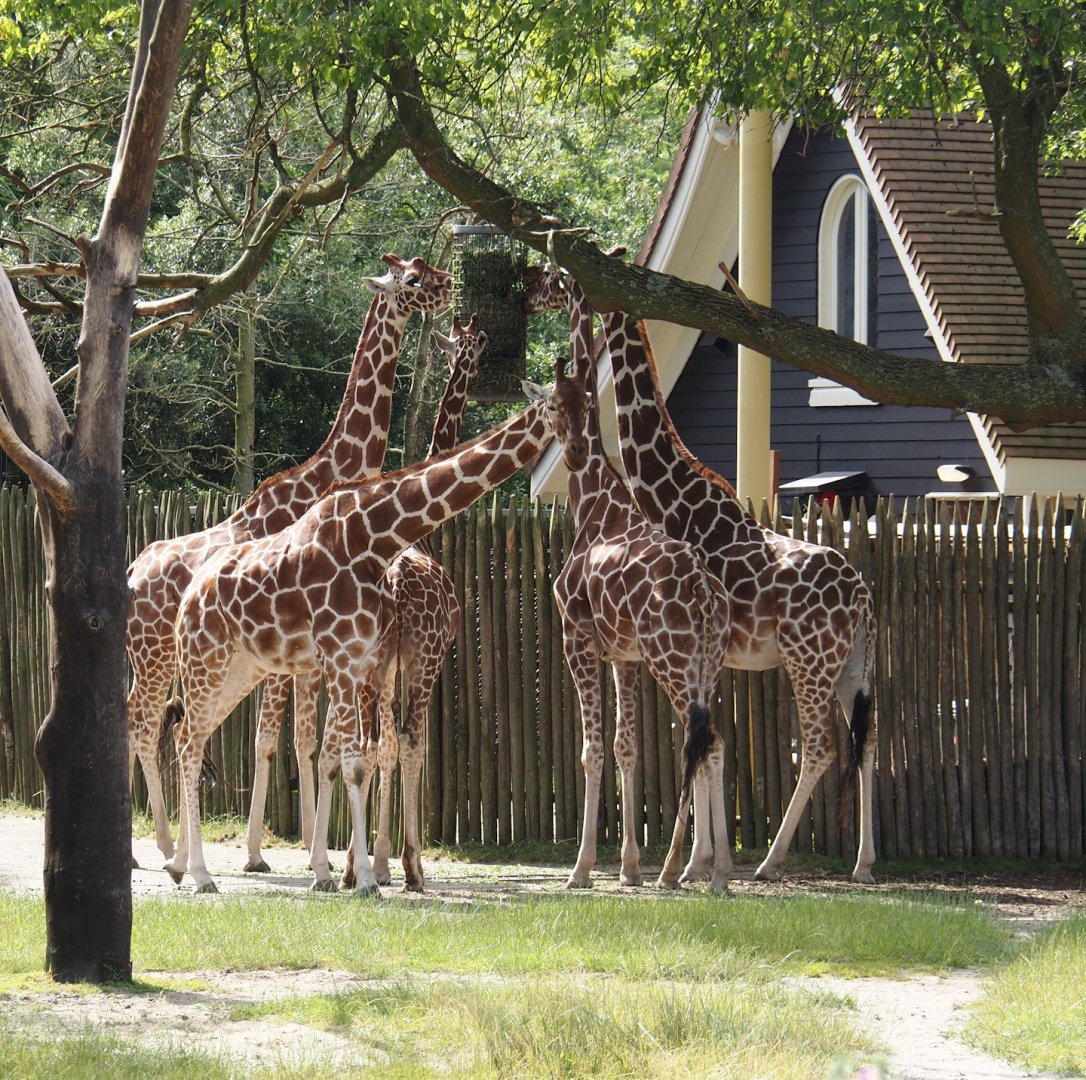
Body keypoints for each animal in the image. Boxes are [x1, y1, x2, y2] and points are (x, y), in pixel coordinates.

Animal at [126, 254, 452, 863]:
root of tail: (133, 572)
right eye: (414, 279)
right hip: (154, 654)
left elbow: (308, 740)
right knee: (145, 720)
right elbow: (280, 740)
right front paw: (274, 852)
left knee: (156, 720)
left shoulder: (308, 653)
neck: (330, 474)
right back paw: (158, 845)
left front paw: (312, 850)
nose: (448, 285)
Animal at [164, 396, 553, 894]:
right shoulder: (347, 659)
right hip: (206, 663)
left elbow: (347, 754)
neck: (376, 537)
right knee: (188, 743)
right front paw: (367, 876)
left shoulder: (363, 662)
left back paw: (185, 868)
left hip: (238, 672)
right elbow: (356, 758)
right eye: (561, 403)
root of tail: (189, 596)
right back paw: (202, 874)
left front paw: (336, 870)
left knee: (187, 738)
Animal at [600, 308, 877, 883]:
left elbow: (701, 742)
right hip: (852, 666)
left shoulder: (699, 651)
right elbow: (714, 743)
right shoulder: (717, 657)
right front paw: (702, 861)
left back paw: (771, 861)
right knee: (867, 740)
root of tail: (863, 596)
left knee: (820, 747)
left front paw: (690, 865)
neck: (674, 501)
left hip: (808, 663)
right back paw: (863, 863)